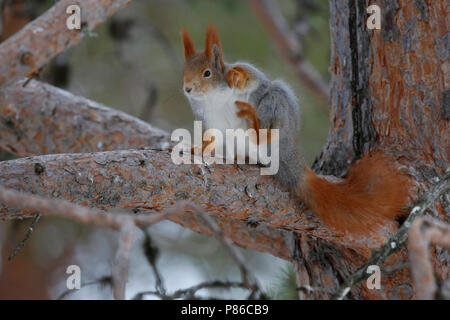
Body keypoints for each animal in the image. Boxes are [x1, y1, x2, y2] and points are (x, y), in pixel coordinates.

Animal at [179, 25, 412, 242]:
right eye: (184, 73)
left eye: (207, 73)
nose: (187, 89)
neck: (211, 98)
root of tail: (291, 160)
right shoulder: (210, 120)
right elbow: (211, 139)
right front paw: (197, 148)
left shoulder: (253, 83)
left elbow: (253, 76)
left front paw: (235, 75)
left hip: (277, 104)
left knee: (265, 129)